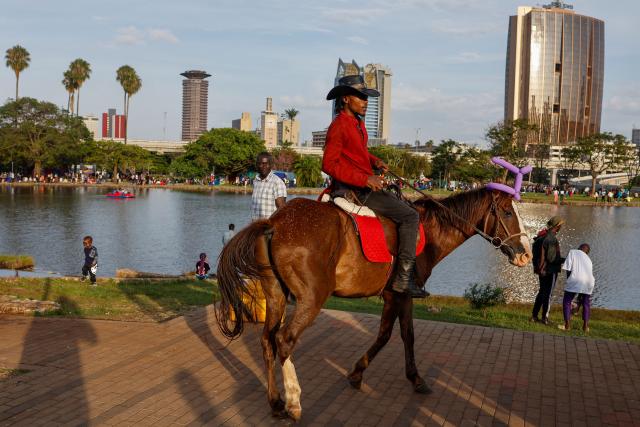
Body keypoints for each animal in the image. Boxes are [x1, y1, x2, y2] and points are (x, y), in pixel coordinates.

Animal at [215, 188, 528, 422]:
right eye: (508, 212)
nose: (525, 254)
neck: (428, 231)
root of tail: (275, 222)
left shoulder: (391, 296)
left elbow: (387, 334)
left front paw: (357, 373)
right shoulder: (403, 294)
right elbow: (404, 335)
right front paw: (415, 378)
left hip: (276, 294)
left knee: (267, 340)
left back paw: (275, 402)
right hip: (311, 298)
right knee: (284, 340)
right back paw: (293, 400)